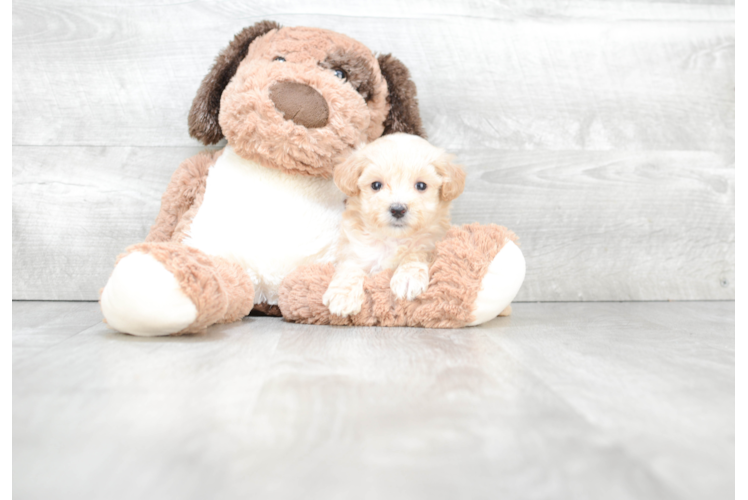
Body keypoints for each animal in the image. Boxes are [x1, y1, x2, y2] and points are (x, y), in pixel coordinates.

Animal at [322, 133, 464, 316]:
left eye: (421, 185)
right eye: (376, 185)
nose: (398, 209)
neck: (393, 239)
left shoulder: (432, 242)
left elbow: (416, 253)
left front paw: (408, 277)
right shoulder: (354, 249)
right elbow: (350, 267)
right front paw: (342, 295)